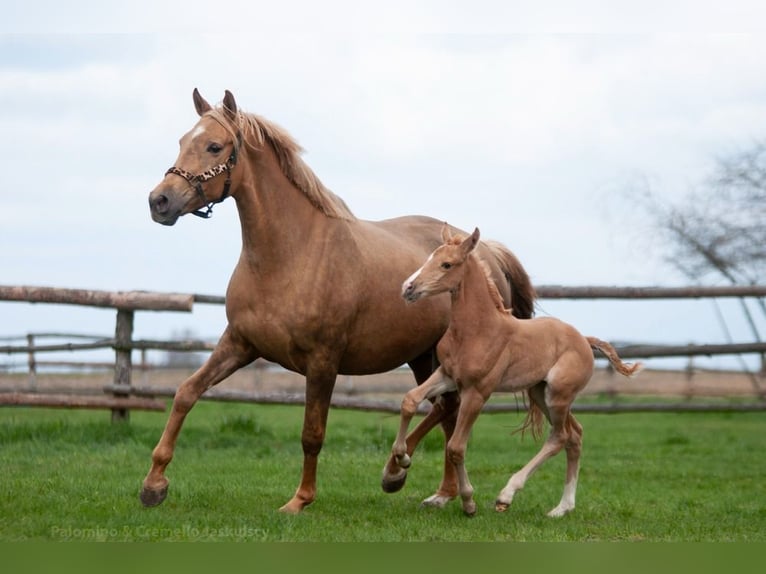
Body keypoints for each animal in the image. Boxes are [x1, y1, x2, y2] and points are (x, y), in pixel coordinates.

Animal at [143, 89, 536, 513]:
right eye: (183, 141)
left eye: (214, 146)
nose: (159, 201)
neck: (291, 255)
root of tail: (487, 252)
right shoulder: (240, 344)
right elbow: (186, 393)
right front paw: (153, 484)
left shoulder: (322, 362)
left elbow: (312, 433)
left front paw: (300, 500)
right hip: (425, 357)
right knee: (446, 413)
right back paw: (436, 490)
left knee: (448, 411)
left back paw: (397, 472)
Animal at [388, 226, 642, 517]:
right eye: (430, 257)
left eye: (446, 264)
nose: (408, 288)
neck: (477, 330)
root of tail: (584, 340)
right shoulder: (447, 376)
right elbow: (409, 400)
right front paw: (402, 459)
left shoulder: (477, 392)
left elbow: (456, 447)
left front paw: (469, 502)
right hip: (540, 393)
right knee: (575, 435)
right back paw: (562, 507)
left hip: (558, 396)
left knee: (560, 436)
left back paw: (507, 495)